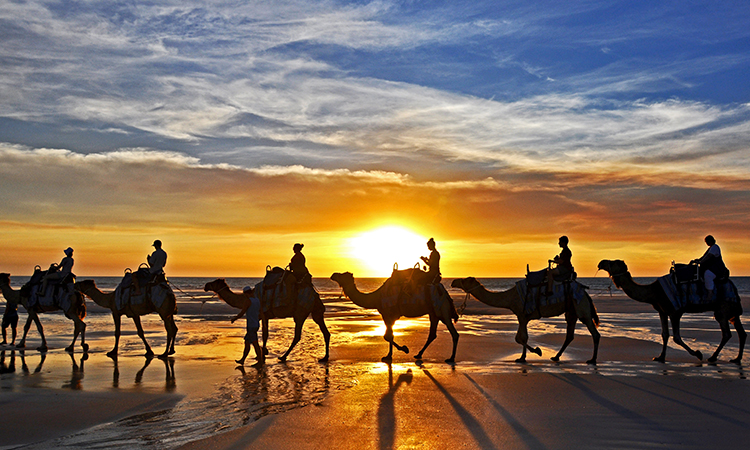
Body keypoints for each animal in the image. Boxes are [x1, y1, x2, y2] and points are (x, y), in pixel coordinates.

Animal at [332, 270, 462, 362]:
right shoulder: (391, 316)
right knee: (433, 334)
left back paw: (451, 358)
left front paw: (404, 349)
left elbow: (387, 336)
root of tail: (445, 294)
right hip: (433, 312)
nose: (333, 274)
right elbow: (390, 335)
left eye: (342, 275)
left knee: (453, 333)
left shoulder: (387, 314)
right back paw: (418, 354)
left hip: (441, 310)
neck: (376, 297)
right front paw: (389, 356)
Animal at [450, 276, 604, 364]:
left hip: (582, 308)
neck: (510, 298)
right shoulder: (521, 317)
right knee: (570, 335)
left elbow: (521, 338)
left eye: (464, 280)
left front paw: (535, 352)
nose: (452, 281)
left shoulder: (522, 315)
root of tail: (586, 295)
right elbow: (520, 337)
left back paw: (592, 360)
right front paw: (525, 356)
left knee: (594, 333)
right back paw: (555, 357)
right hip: (571, 311)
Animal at [600, 260, 748, 362]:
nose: (601, 262)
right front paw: (660, 357)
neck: (654, 292)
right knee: (741, 332)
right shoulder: (662, 311)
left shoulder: (675, 311)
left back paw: (712, 357)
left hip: (722, 308)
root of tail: (733, 286)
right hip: (732, 311)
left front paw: (698, 353)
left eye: (613, 262)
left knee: (726, 333)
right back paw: (736, 359)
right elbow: (664, 334)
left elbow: (676, 337)